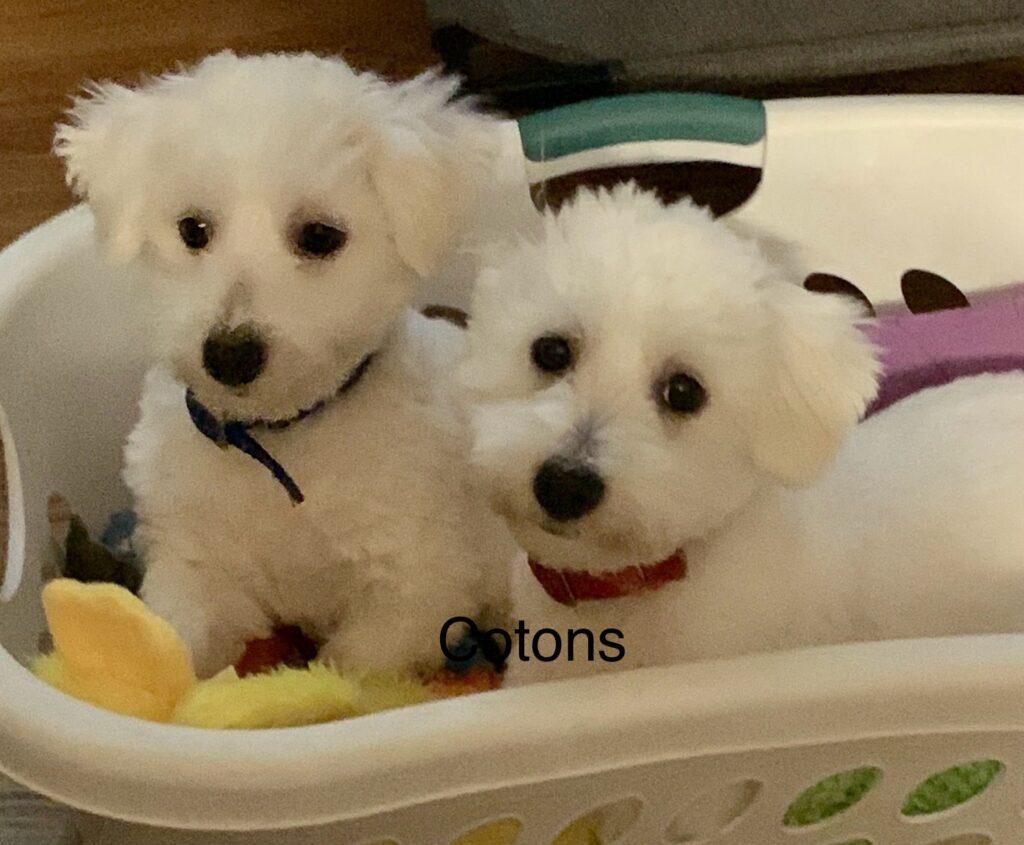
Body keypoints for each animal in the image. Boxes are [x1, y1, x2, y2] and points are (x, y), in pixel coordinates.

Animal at [55, 51, 516, 671]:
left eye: (320, 236)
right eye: (192, 229)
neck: (275, 442)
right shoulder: (194, 565)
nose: (229, 354)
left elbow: (354, 670)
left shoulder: (417, 589)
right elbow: (180, 644)